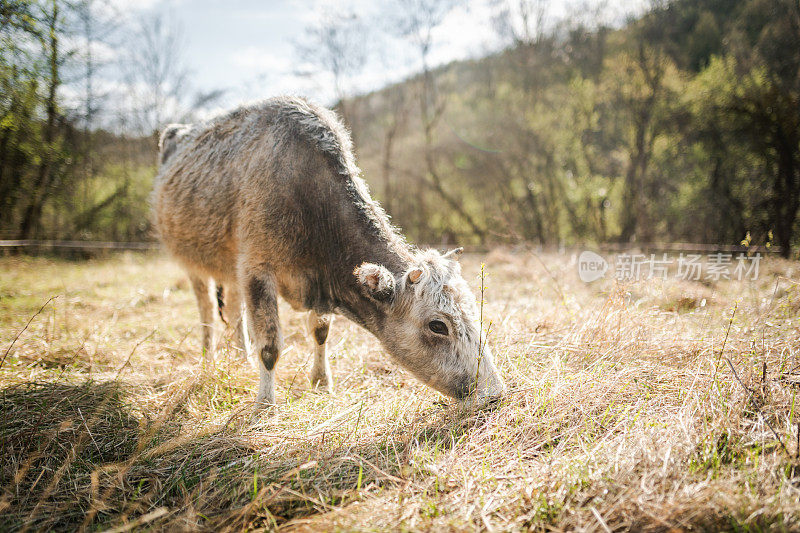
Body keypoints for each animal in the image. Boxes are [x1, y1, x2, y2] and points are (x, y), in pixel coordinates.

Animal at [152, 96, 504, 404]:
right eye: (437, 325)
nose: (493, 393)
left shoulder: (304, 276)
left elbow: (320, 331)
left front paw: (321, 382)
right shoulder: (257, 266)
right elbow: (270, 345)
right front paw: (264, 404)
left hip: (232, 268)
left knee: (235, 309)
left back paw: (241, 361)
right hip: (192, 262)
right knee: (207, 312)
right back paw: (209, 361)